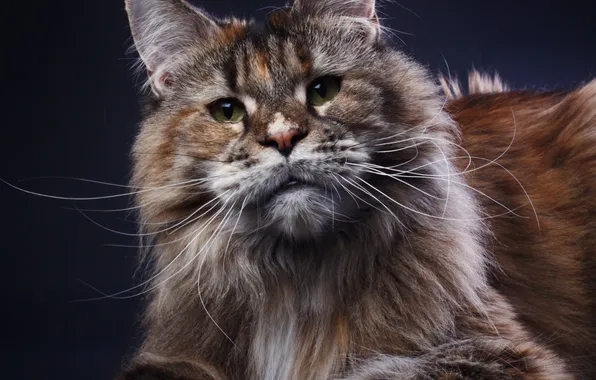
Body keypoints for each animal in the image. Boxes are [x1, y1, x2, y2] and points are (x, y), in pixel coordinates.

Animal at [117, 0, 596, 380]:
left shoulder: (496, 351)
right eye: (227, 112)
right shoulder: (172, 356)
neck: (295, 280)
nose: (284, 137)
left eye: (322, 90)